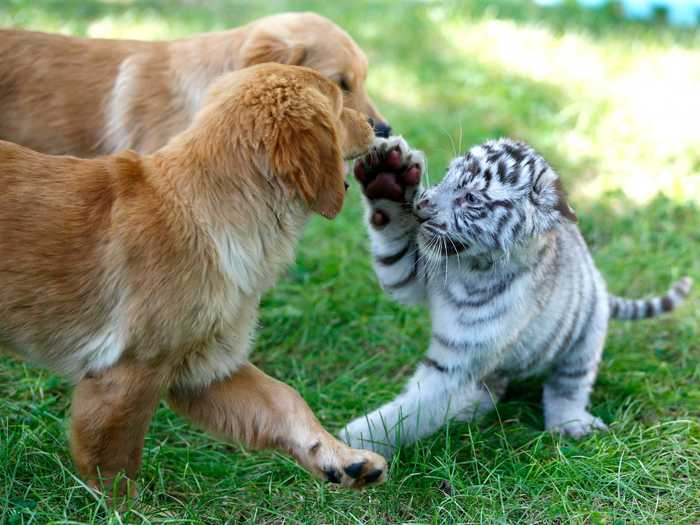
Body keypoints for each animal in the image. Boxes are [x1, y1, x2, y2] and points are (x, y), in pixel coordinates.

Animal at [0, 63, 388, 494]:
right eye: (339, 100)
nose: (380, 126)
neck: (205, 209)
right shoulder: (128, 373)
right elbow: (117, 460)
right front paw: (126, 506)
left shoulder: (203, 366)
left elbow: (285, 399)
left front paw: (343, 459)